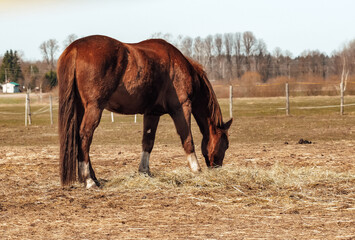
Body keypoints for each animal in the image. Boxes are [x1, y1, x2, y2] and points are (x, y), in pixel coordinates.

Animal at [58, 35, 232, 188]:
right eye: (226, 144)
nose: (217, 167)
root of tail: (75, 48)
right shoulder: (182, 107)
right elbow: (187, 138)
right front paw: (196, 169)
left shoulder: (152, 114)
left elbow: (148, 141)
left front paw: (144, 171)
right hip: (94, 108)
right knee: (85, 136)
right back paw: (89, 180)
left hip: (81, 108)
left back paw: (92, 178)